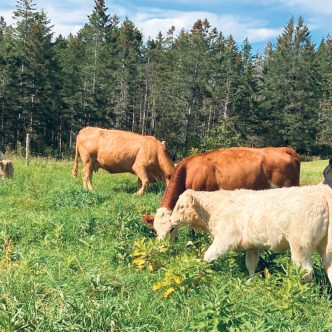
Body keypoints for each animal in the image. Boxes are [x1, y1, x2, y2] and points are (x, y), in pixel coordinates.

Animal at [156, 185, 332, 284]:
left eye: (181, 207)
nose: (172, 220)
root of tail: (322, 190)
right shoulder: (252, 246)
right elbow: (251, 264)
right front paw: (251, 282)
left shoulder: (225, 240)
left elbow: (207, 257)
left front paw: (202, 274)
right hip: (325, 247)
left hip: (300, 245)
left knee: (306, 272)